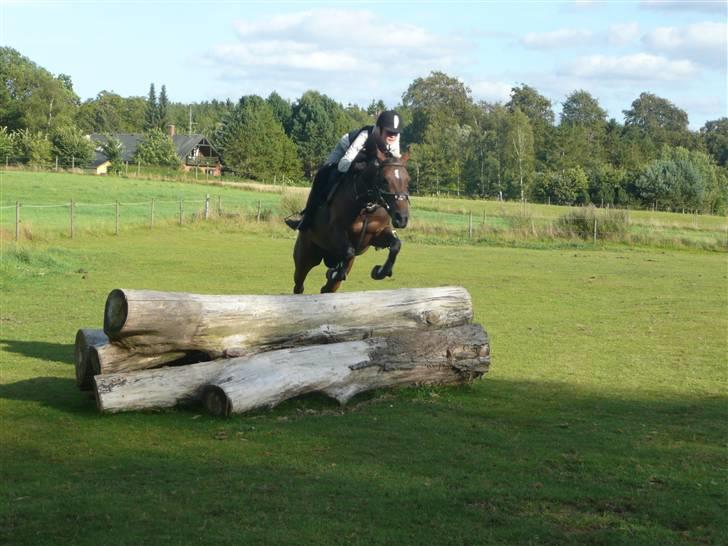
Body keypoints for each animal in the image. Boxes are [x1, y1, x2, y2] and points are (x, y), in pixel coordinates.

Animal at [292, 148, 412, 294]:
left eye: (408, 180)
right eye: (384, 180)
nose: (402, 218)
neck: (367, 205)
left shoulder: (377, 234)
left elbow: (395, 245)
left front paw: (380, 272)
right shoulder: (335, 231)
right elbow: (349, 251)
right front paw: (334, 272)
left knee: (327, 288)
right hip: (306, 257)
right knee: (299, 284)